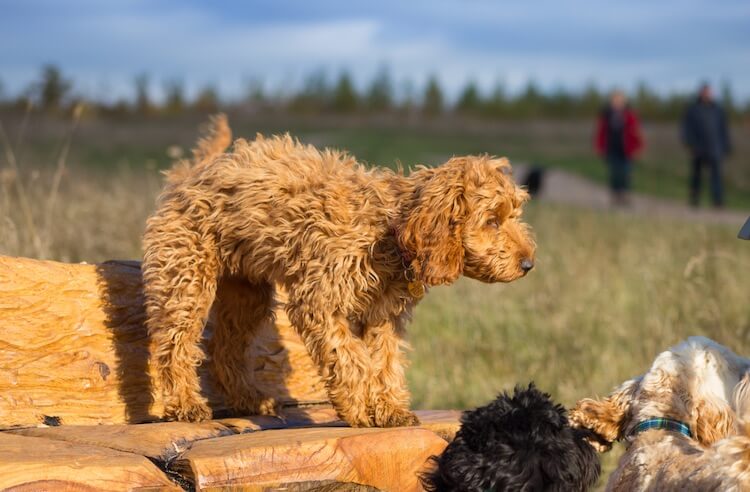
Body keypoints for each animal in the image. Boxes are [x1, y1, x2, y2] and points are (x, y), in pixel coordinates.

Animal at [142, 116, 540, 426]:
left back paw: (249, 399)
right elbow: (348, 357)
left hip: (246, 291)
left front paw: (390, 409)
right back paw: (186, 404)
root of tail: (191, 174)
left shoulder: (383, 314)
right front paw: (360, 408)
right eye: (492, 221)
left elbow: (385, 362)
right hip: (187, 279)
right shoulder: (319, 302)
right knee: (174, 344)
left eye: (515, 214)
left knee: (225, 347)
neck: (388, 228)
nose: (528, 264)